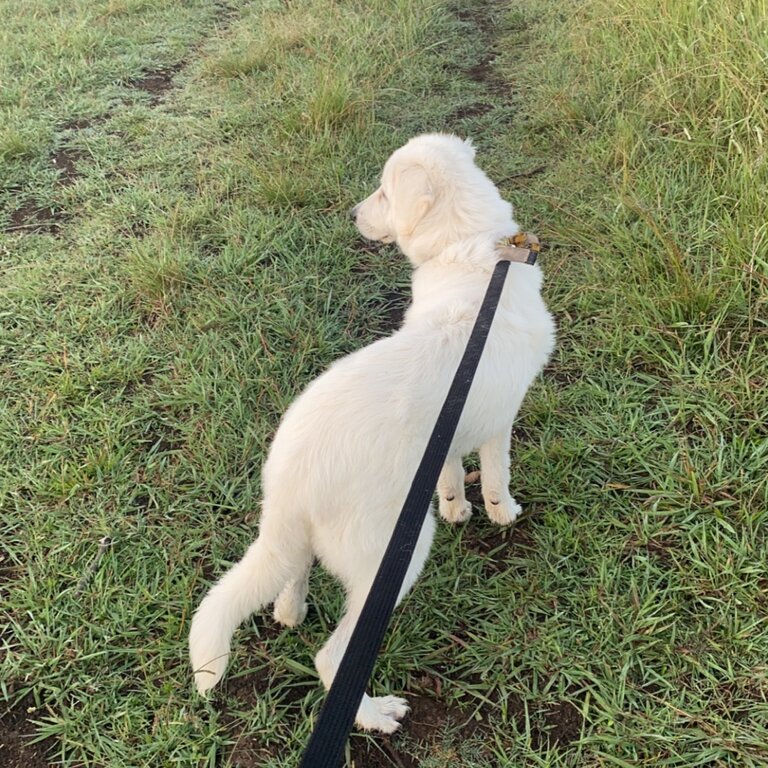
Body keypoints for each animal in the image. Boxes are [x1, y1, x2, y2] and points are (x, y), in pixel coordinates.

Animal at [189, 132, 556, 732]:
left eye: (383, 191)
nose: (352, 215)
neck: (470, 257)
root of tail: (291, 478)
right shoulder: (501, 419)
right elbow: (496, 474)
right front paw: (502, 513)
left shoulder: (447, 435)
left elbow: (451, 472)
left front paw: (457, 507)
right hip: (394, 553)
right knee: (332, 656)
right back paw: (375, 715)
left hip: (302, 540)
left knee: (287, 587)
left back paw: (293, 611)